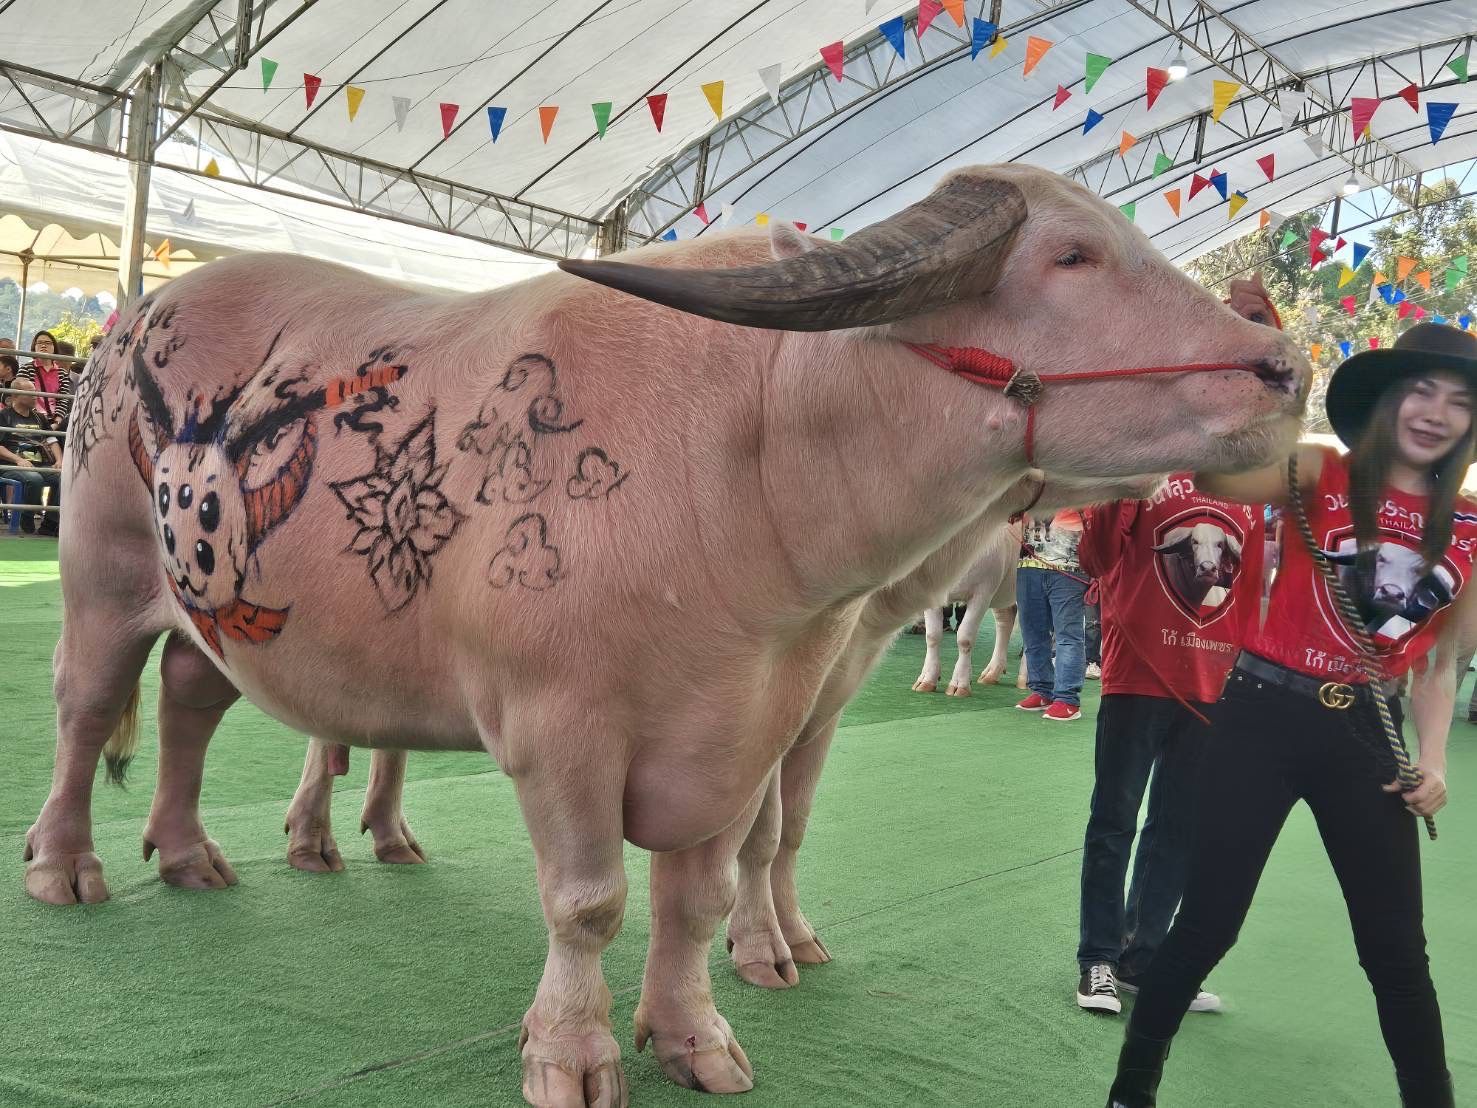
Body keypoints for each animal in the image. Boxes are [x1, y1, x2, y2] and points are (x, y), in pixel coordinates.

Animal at [26, 160, 1305, 1105]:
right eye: (1071, 256)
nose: (1287, 370)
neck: (749, 452)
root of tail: (140, 314)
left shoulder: (756, 723)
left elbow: (705, 888)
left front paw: (696, 1031)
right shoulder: (558, 727)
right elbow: (590, 901)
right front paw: (574, 1050)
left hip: (209, 617)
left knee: (190, 703)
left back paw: (192, 852)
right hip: (102, 576)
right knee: (87, 710)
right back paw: (68, 864)